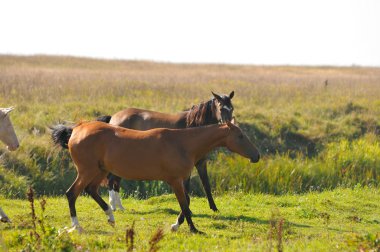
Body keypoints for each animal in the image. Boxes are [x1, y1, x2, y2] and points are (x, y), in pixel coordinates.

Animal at [52, 119, 260, 233]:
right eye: (240, 136)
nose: (256, 155)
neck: (183, 144)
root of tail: (77, 128)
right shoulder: (175, 180)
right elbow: (184, 205)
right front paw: (193, 229)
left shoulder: (181, 180)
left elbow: (187, 202)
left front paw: (176, 225)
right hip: (87, 170)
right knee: (72, 193)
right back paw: (77, 226)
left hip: (99, 170)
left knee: (91, 190)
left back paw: (110, 216)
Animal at [96, 91, 235, 212]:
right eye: (221, 108)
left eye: (232, 108)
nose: (229, 125)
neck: (193, 126)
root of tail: (113, 117)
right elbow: (186, 187)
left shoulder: (201, 162)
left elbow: (206, 184)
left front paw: (214, 208)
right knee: (111, 180)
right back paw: (114, 207)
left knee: (115, 180)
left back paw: (119, 207)